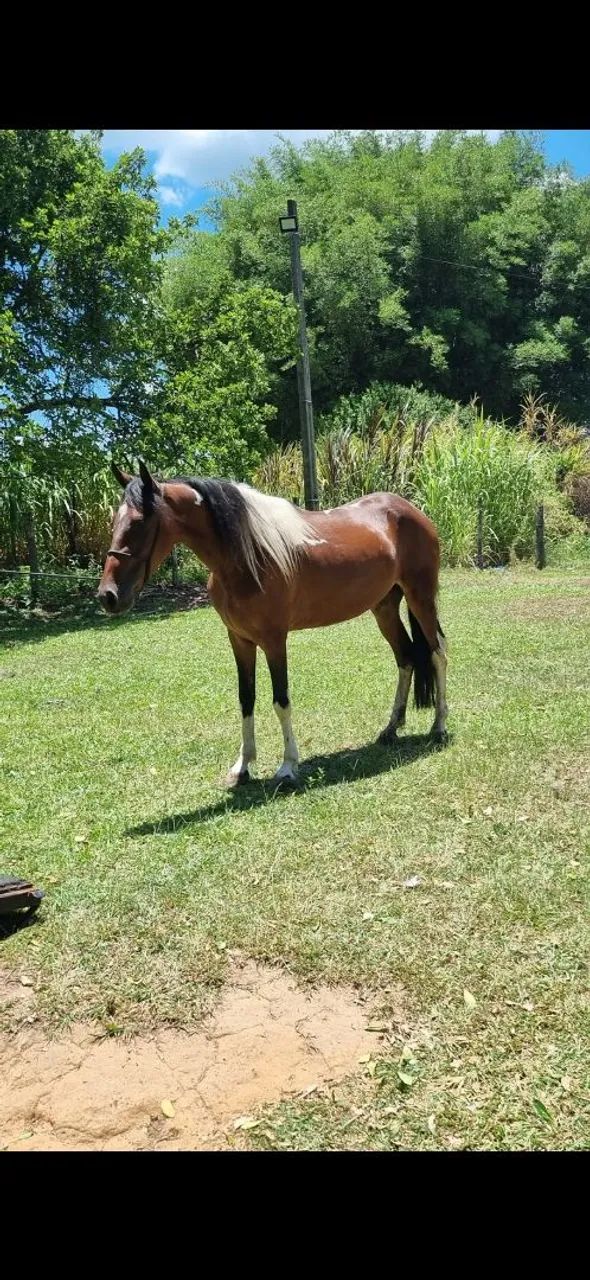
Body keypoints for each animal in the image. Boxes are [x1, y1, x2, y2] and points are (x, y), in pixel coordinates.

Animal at [98, 461, 448, 785]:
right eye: (115, 521)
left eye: (140, 523)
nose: (108, 596)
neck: (247, 557)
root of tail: (410, 510)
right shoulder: (239, 640)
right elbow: (246, 699)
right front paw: (243, 767)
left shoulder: (274, 640)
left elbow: (281, 700)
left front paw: (288, 766)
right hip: (384, 608)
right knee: (405, 658)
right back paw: (391, 729)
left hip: (421, 599)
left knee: (437, 654)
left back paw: (439, 726)